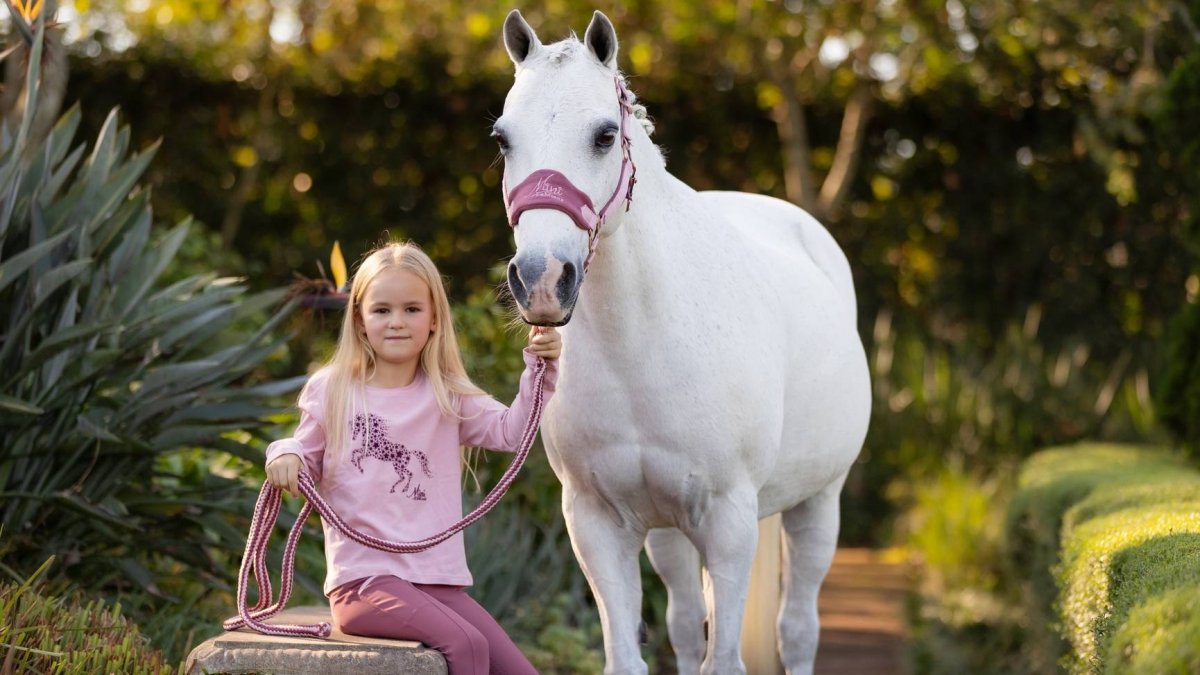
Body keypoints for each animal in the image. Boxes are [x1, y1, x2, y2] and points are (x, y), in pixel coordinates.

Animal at [496, 10, 873, 672]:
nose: (541, 279)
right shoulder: (597, 523)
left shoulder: (729, 522)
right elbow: (631, 654)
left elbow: (724, 659)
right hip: (670, 533)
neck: (641, 347)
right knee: (684, 623)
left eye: (603, 136)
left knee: (798, 629)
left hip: (817, 505)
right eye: (502, 139)